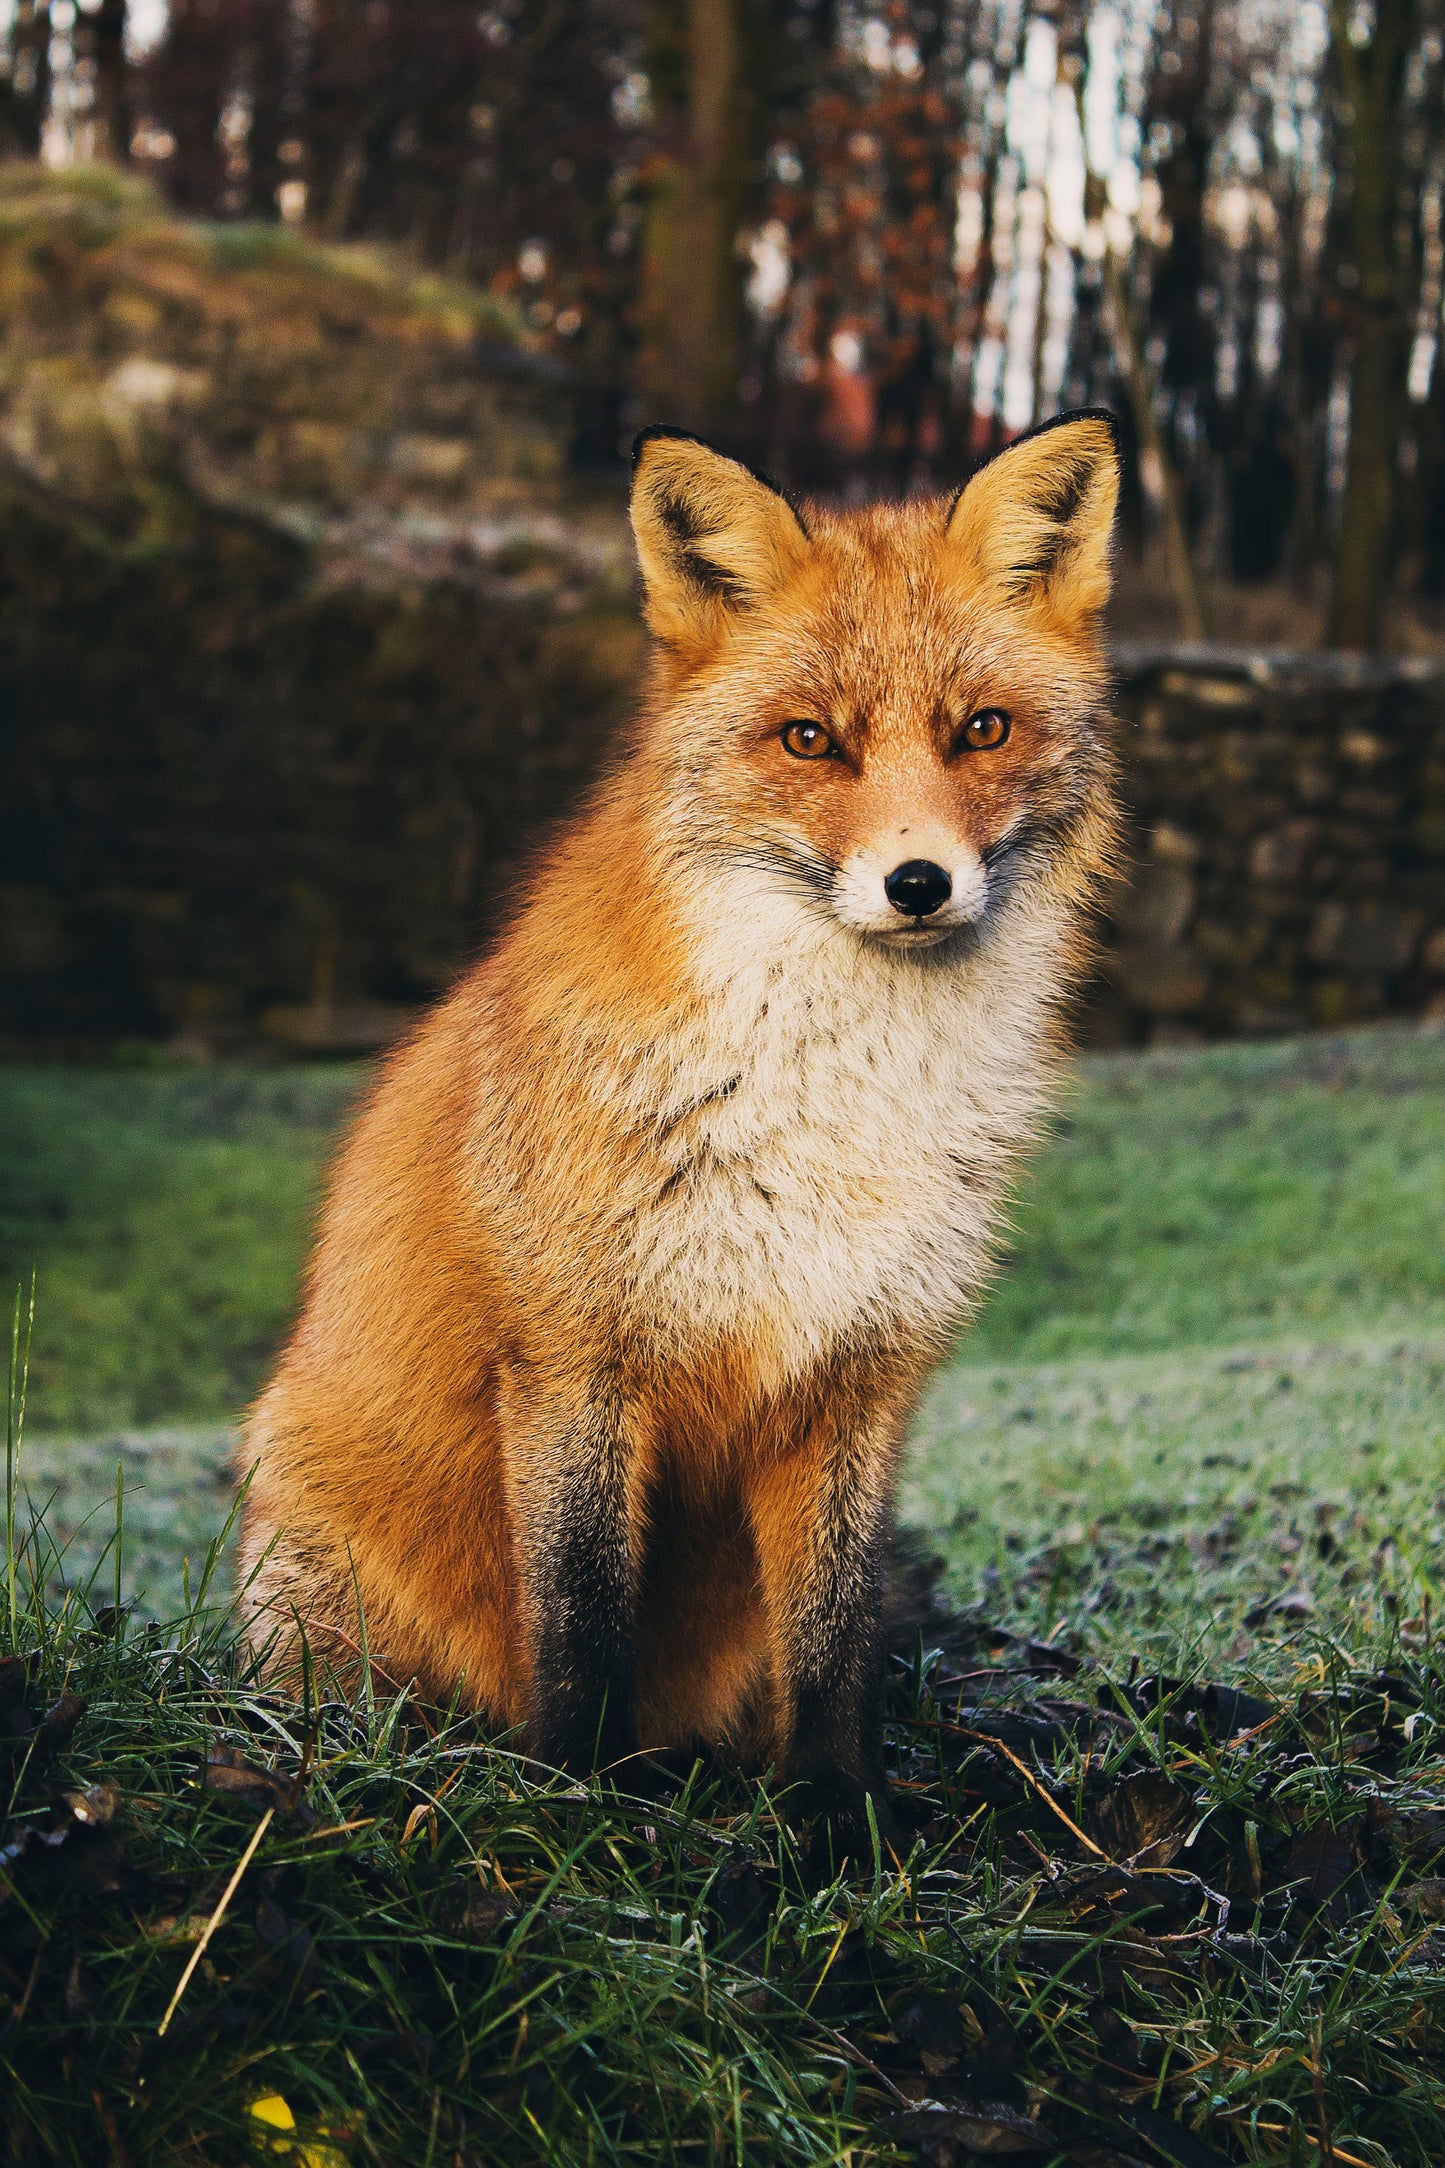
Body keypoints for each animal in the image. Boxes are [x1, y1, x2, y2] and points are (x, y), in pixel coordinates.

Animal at [237, 408, 1122, 1847]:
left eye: (981, 729)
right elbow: (582, 1618)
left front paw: (839, 1818)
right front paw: (583, 1801)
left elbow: (834, 1640)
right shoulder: (574, 1360)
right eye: (808, 740)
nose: (917, 883)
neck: (832, 1108)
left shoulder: (856, 1378)